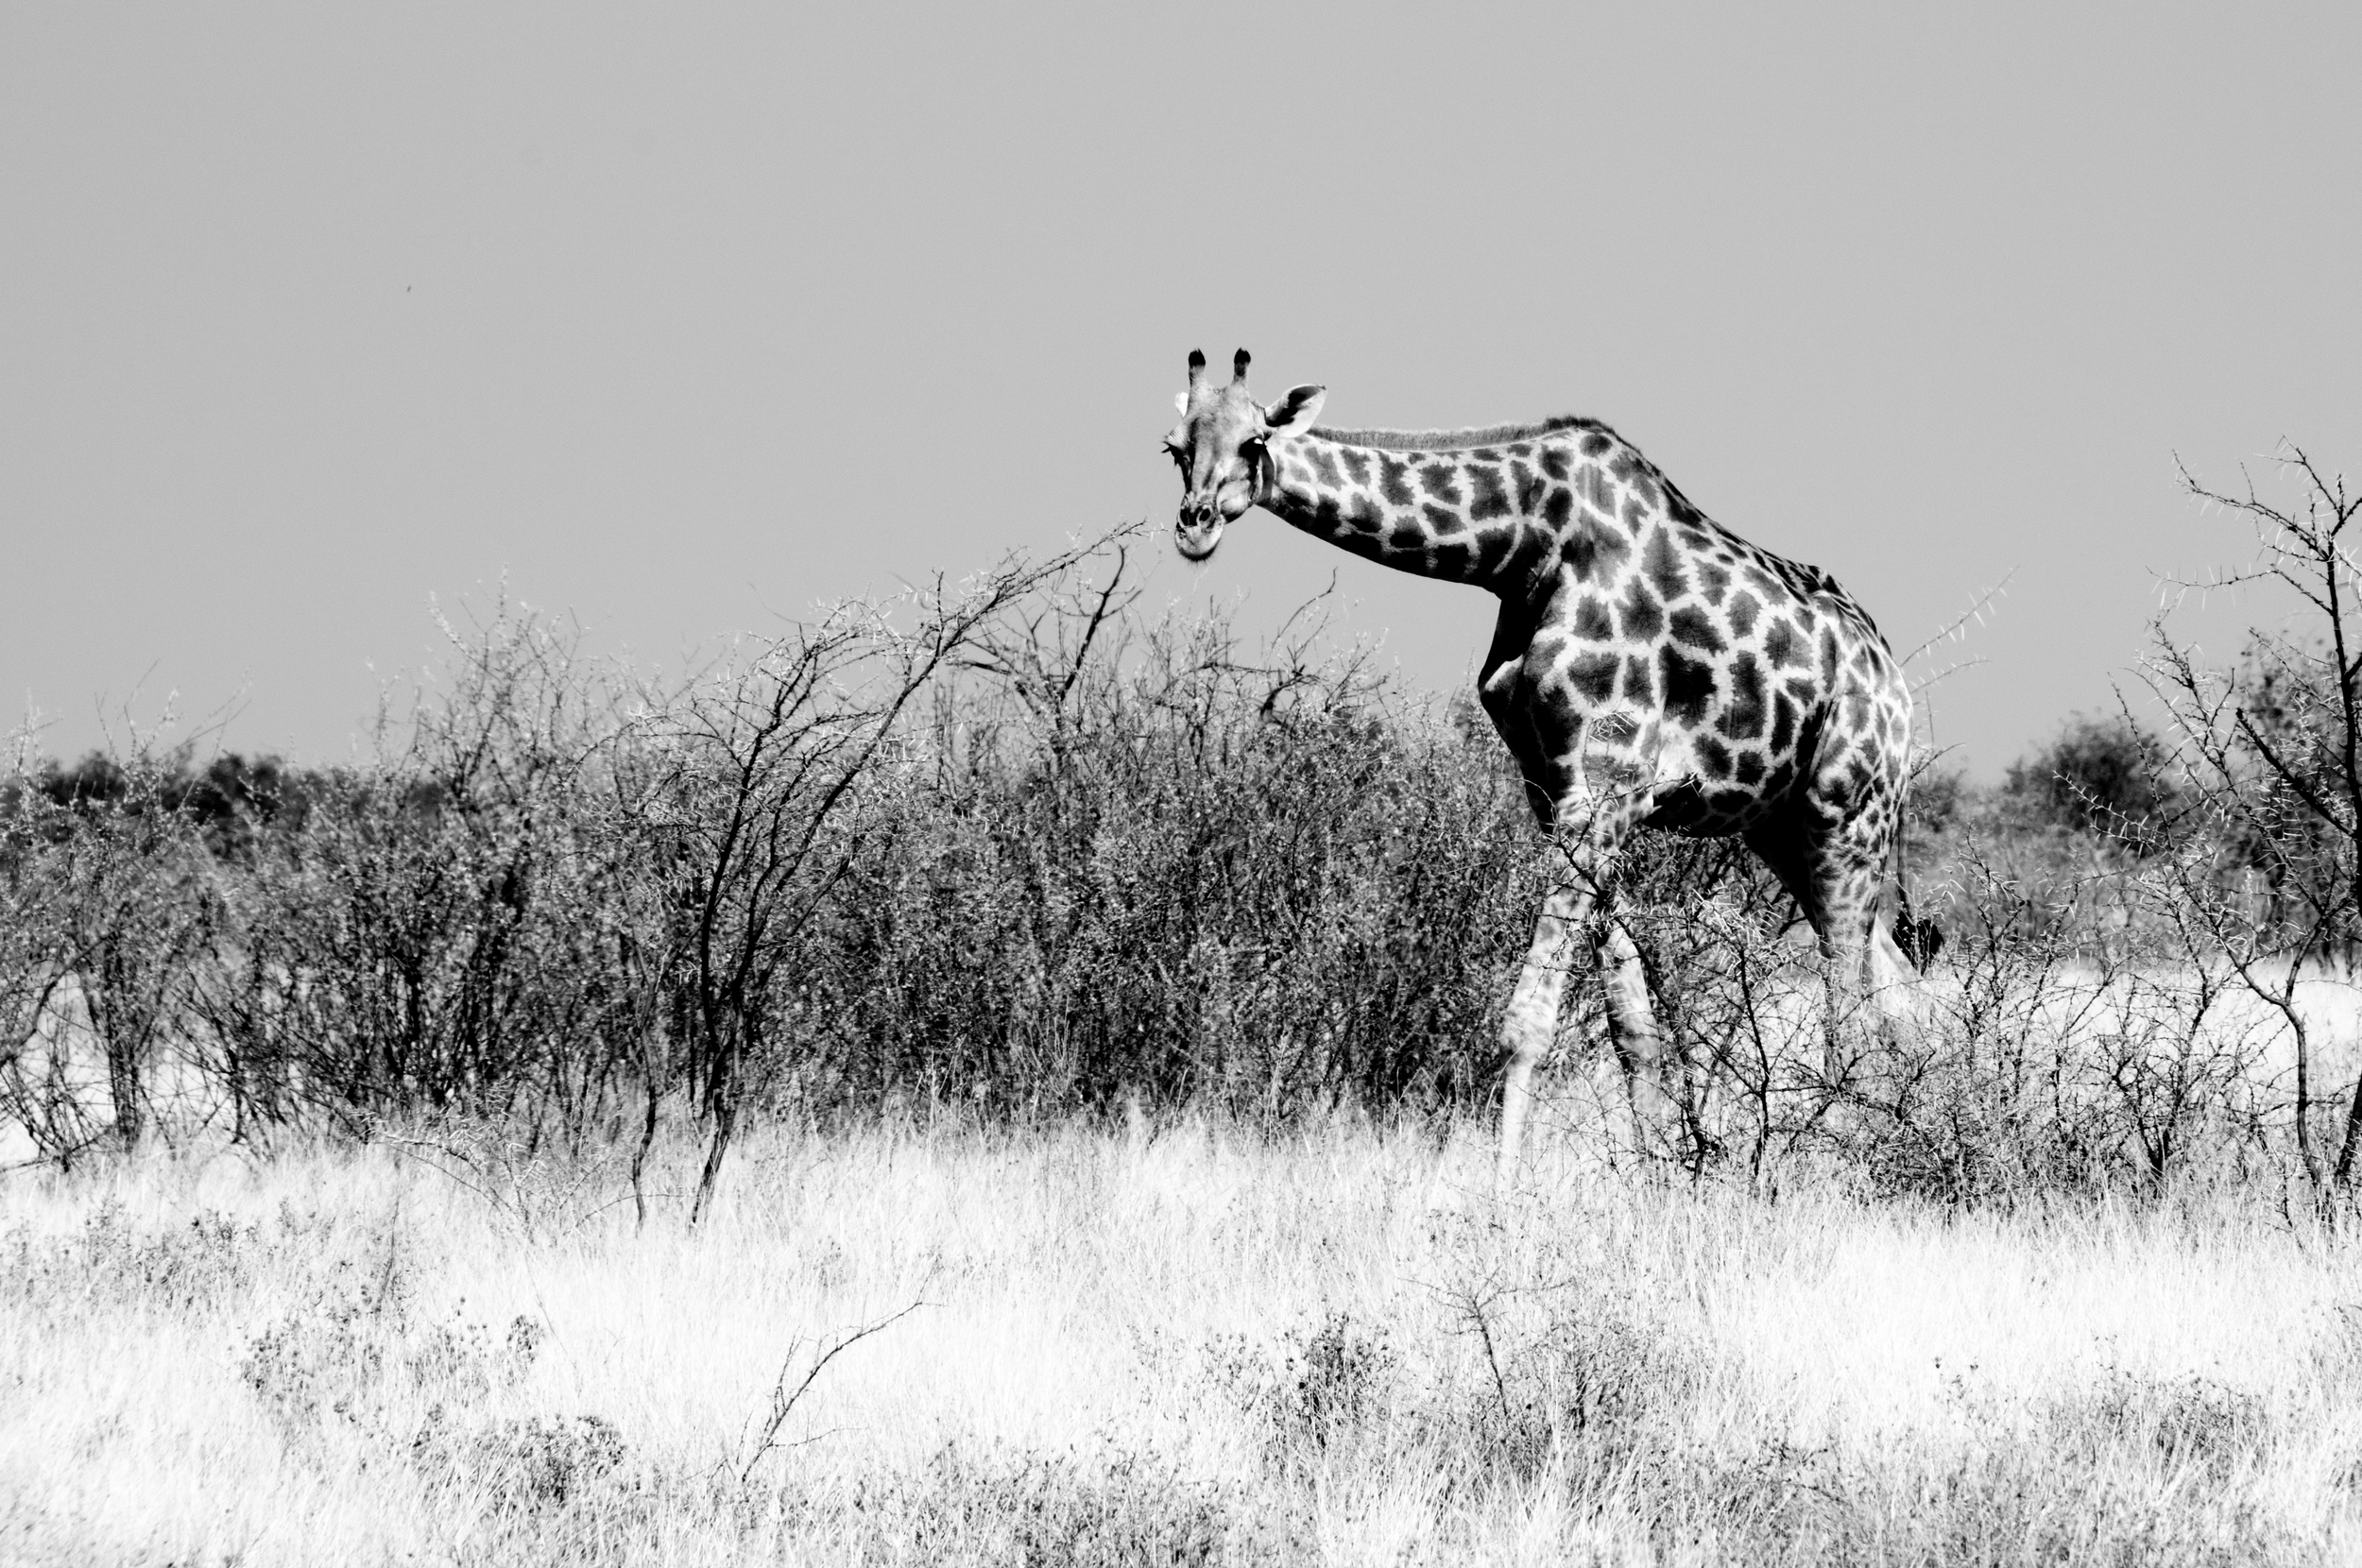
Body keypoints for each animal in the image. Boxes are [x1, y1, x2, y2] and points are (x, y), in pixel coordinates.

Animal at [1162, 347, 1918, 1176]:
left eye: (1254, 442)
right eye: (1173, 448)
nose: (1194, 527)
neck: (1521, 548)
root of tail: (1894, 680)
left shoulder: (1606, 783)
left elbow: (1529, 1018)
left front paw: (1502, 1190)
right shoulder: (1563, 789)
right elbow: (1631, 1026)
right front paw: (1649, 1175)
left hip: (1849, 812)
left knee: (1848, 1000)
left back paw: (1841, 1164)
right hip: (1780, 827)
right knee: (1893, 979)